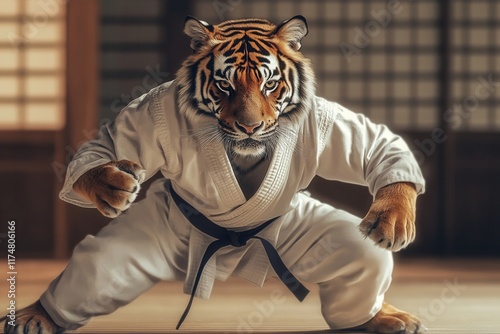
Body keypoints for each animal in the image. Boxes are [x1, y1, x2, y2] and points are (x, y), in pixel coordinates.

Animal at [4, 15, 426, 332]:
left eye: (270, 84)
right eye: (225, 85)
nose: (250, 127)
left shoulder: (321, 124)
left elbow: (382, 145)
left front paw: (392, 218)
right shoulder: (152, 116)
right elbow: (100, 149)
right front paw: (111, 184)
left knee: (364, 261)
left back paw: (381, 318)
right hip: (142, 244)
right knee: (95, 270)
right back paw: (36, 317)